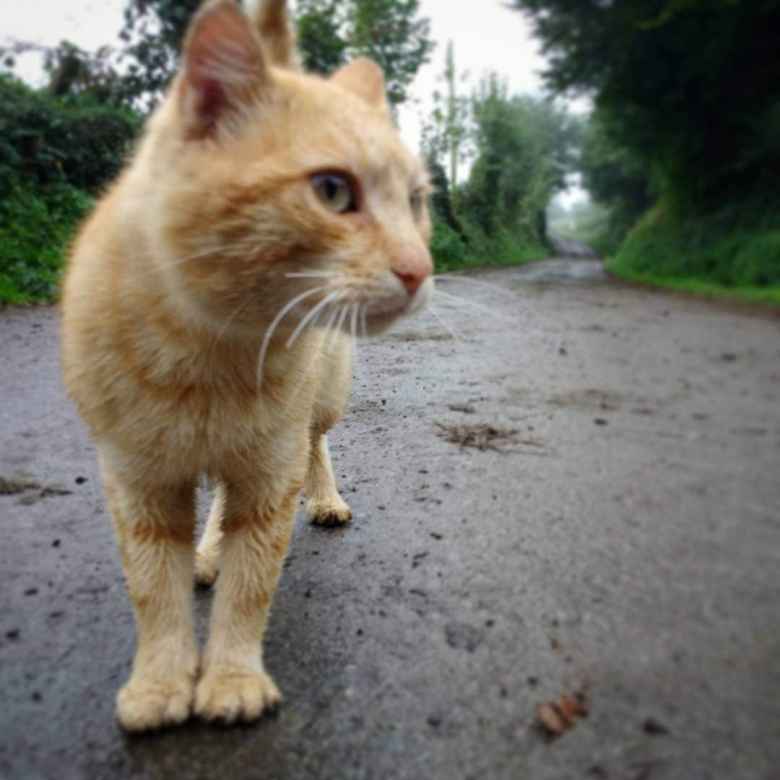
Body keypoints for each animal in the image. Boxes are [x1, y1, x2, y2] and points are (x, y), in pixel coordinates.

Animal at [62, 0, 432, 732]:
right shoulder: (137, 483)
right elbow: (154, 591)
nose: (419, 268)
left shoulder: (269, 473)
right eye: (332, 191)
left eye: (415, 201)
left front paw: (230, 679)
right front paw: (160, 682)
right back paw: (205, 552)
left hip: (321, 402)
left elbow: (249, 587)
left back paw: (325, 499)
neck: (208, 352)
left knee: (317, 446)